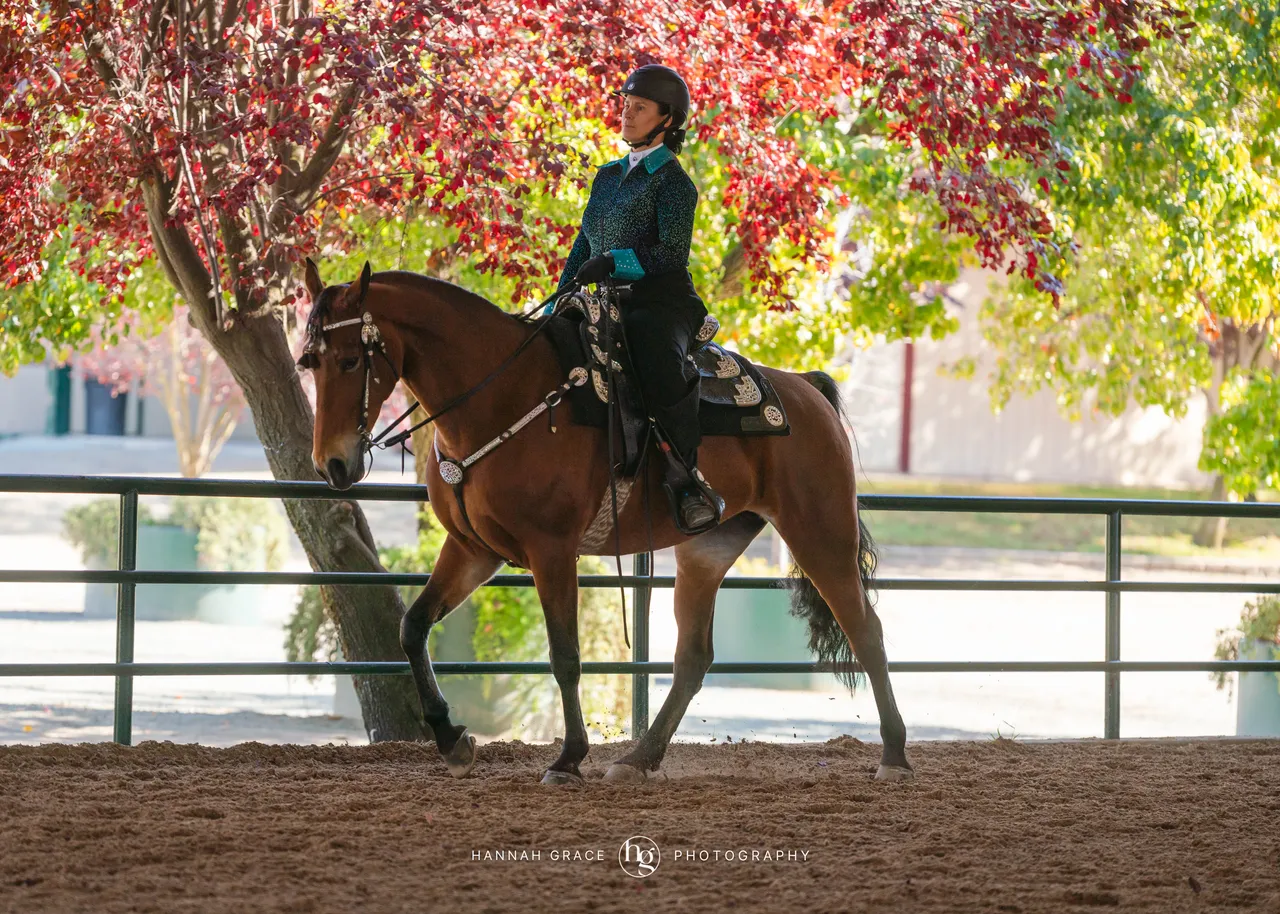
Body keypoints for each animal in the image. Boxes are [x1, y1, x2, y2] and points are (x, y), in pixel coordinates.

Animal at [297, 258, 913, 786]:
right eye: (311, 362)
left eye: (350, 360)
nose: (331, 464)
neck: (500, 397)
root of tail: (807, 388)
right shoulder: (473, 550)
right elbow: (413, 627)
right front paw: (453, 740)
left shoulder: (551, 551)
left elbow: (565, 656)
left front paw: (568, 759)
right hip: (706, 551)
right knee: (692, 659)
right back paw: (639, 759)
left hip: (820, 534)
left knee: (867, 632)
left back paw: (895, 755)